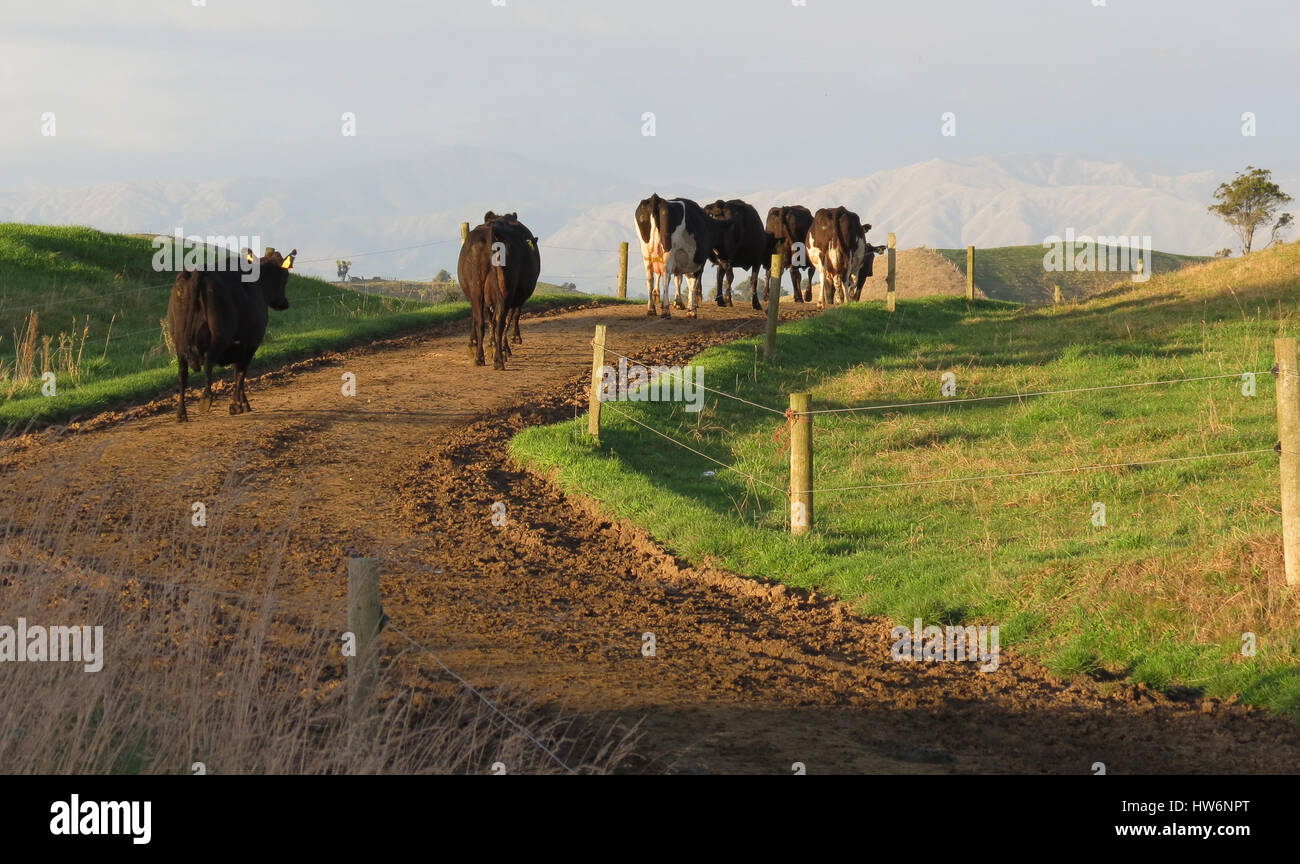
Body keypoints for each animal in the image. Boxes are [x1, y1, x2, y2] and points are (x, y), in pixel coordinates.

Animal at [167, 244, 295, 423]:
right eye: (285, 276)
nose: (285, 303)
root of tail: (198, 272)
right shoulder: (251, 342)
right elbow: (240, 373)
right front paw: (236, 405)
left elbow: (237, 371)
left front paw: (243, 403)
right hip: (220, 335)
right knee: (208, 360)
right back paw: (206, 399)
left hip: (179, 341)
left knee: (182, 374)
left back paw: (181, 413)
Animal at [457, 214, 538, 366]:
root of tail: (491, 230)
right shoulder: (517, 296)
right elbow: (510, 317)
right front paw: (506, 343)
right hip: (505, 289)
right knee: (500, 319)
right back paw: (499, 358)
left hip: (477, 288)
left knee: (482, 320)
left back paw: (481, 357)